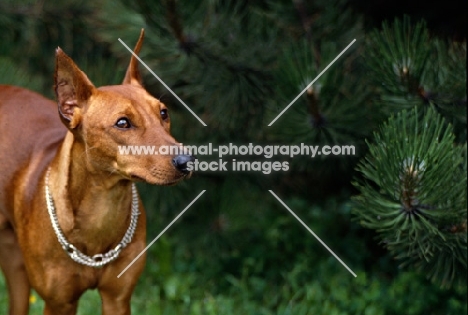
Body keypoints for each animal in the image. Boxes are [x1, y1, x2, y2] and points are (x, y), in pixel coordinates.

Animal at [0, 30, 193, 315]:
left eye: (164, 113)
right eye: (122, 123)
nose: (187, 160)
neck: (102, 209)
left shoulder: (118, 298)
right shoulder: (59, 304)